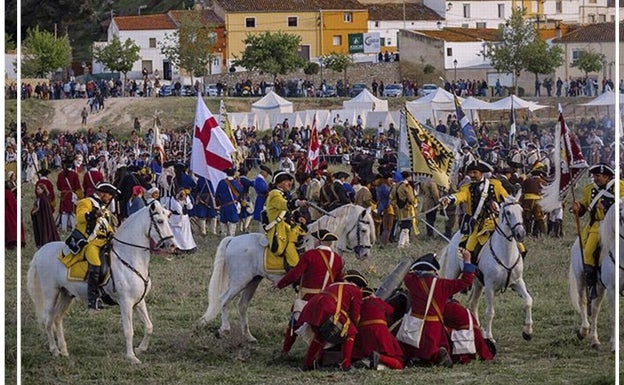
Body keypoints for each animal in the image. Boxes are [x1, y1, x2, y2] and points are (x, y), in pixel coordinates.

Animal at [27, 201, 178, 364]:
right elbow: (128, 331)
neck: (129, 256)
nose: (173, 245)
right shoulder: (126, 302)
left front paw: (141, 349)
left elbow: (149, 326)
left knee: (57, 318)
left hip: (66, 294)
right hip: (51, 293)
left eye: (167, 219)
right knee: (48, 320)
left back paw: (64, 350)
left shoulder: (139, 301)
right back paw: (54, 350)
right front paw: (131, 357)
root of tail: (41, 251)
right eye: (160, 221)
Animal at [201, 202, 376, 340]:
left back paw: (248, 336)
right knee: (223, 299)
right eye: (364, 229)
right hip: (239, 281)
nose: (366, 254)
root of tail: (233, 240)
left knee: (242, 305)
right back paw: (224, 329)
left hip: (252, 281)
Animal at [438, 194, 532, 340]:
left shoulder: (517, 282)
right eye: (508, 212)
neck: (506, 254)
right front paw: (489, 336)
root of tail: (454, 239)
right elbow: (490, 312)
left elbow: (528, 300)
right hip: (454, 273)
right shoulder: (489, 286)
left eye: (521, 211)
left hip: (477, 283)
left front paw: (527, 332)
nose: (520, 233)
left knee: (473, 304)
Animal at [572, 198, 620, 352]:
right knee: (583, 302)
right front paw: (614, 345)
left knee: (595, 309)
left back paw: (595, 340)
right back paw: (584, 331)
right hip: (581, 278)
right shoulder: (612, 289)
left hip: (599, 286)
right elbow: (613, 316)